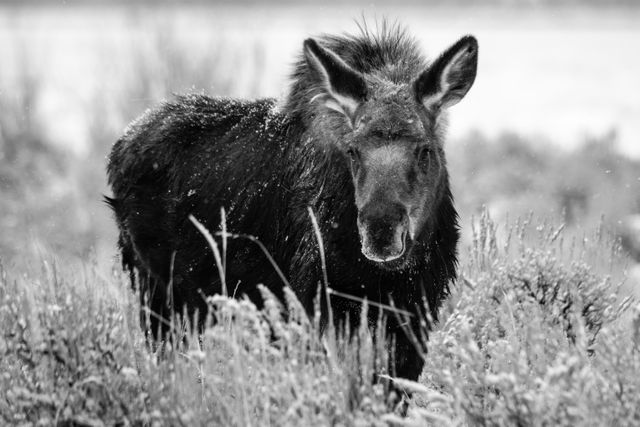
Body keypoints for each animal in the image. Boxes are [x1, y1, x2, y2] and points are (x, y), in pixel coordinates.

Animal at [106, 25, 476, 382]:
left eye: (425, 149)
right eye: (352, 151)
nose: (381, 232)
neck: (387, 276)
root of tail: (120, 147)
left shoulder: (415, 310)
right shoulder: (320, 305)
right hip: (158, 293)